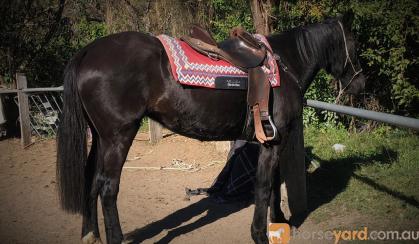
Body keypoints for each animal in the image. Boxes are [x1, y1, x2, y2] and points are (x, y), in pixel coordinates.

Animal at [56, 15, 368, 244]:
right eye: (353, 46)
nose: (359, 84)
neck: (284, 65)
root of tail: (87, 52)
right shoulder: (273, 142)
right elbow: (265, 185)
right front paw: (260, 234)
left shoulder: (272, 141)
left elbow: (274, 184)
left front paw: (278, 222)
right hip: (118, 136)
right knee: (108, 188)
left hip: (99, 137)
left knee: (91, 180)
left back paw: (90, 235)